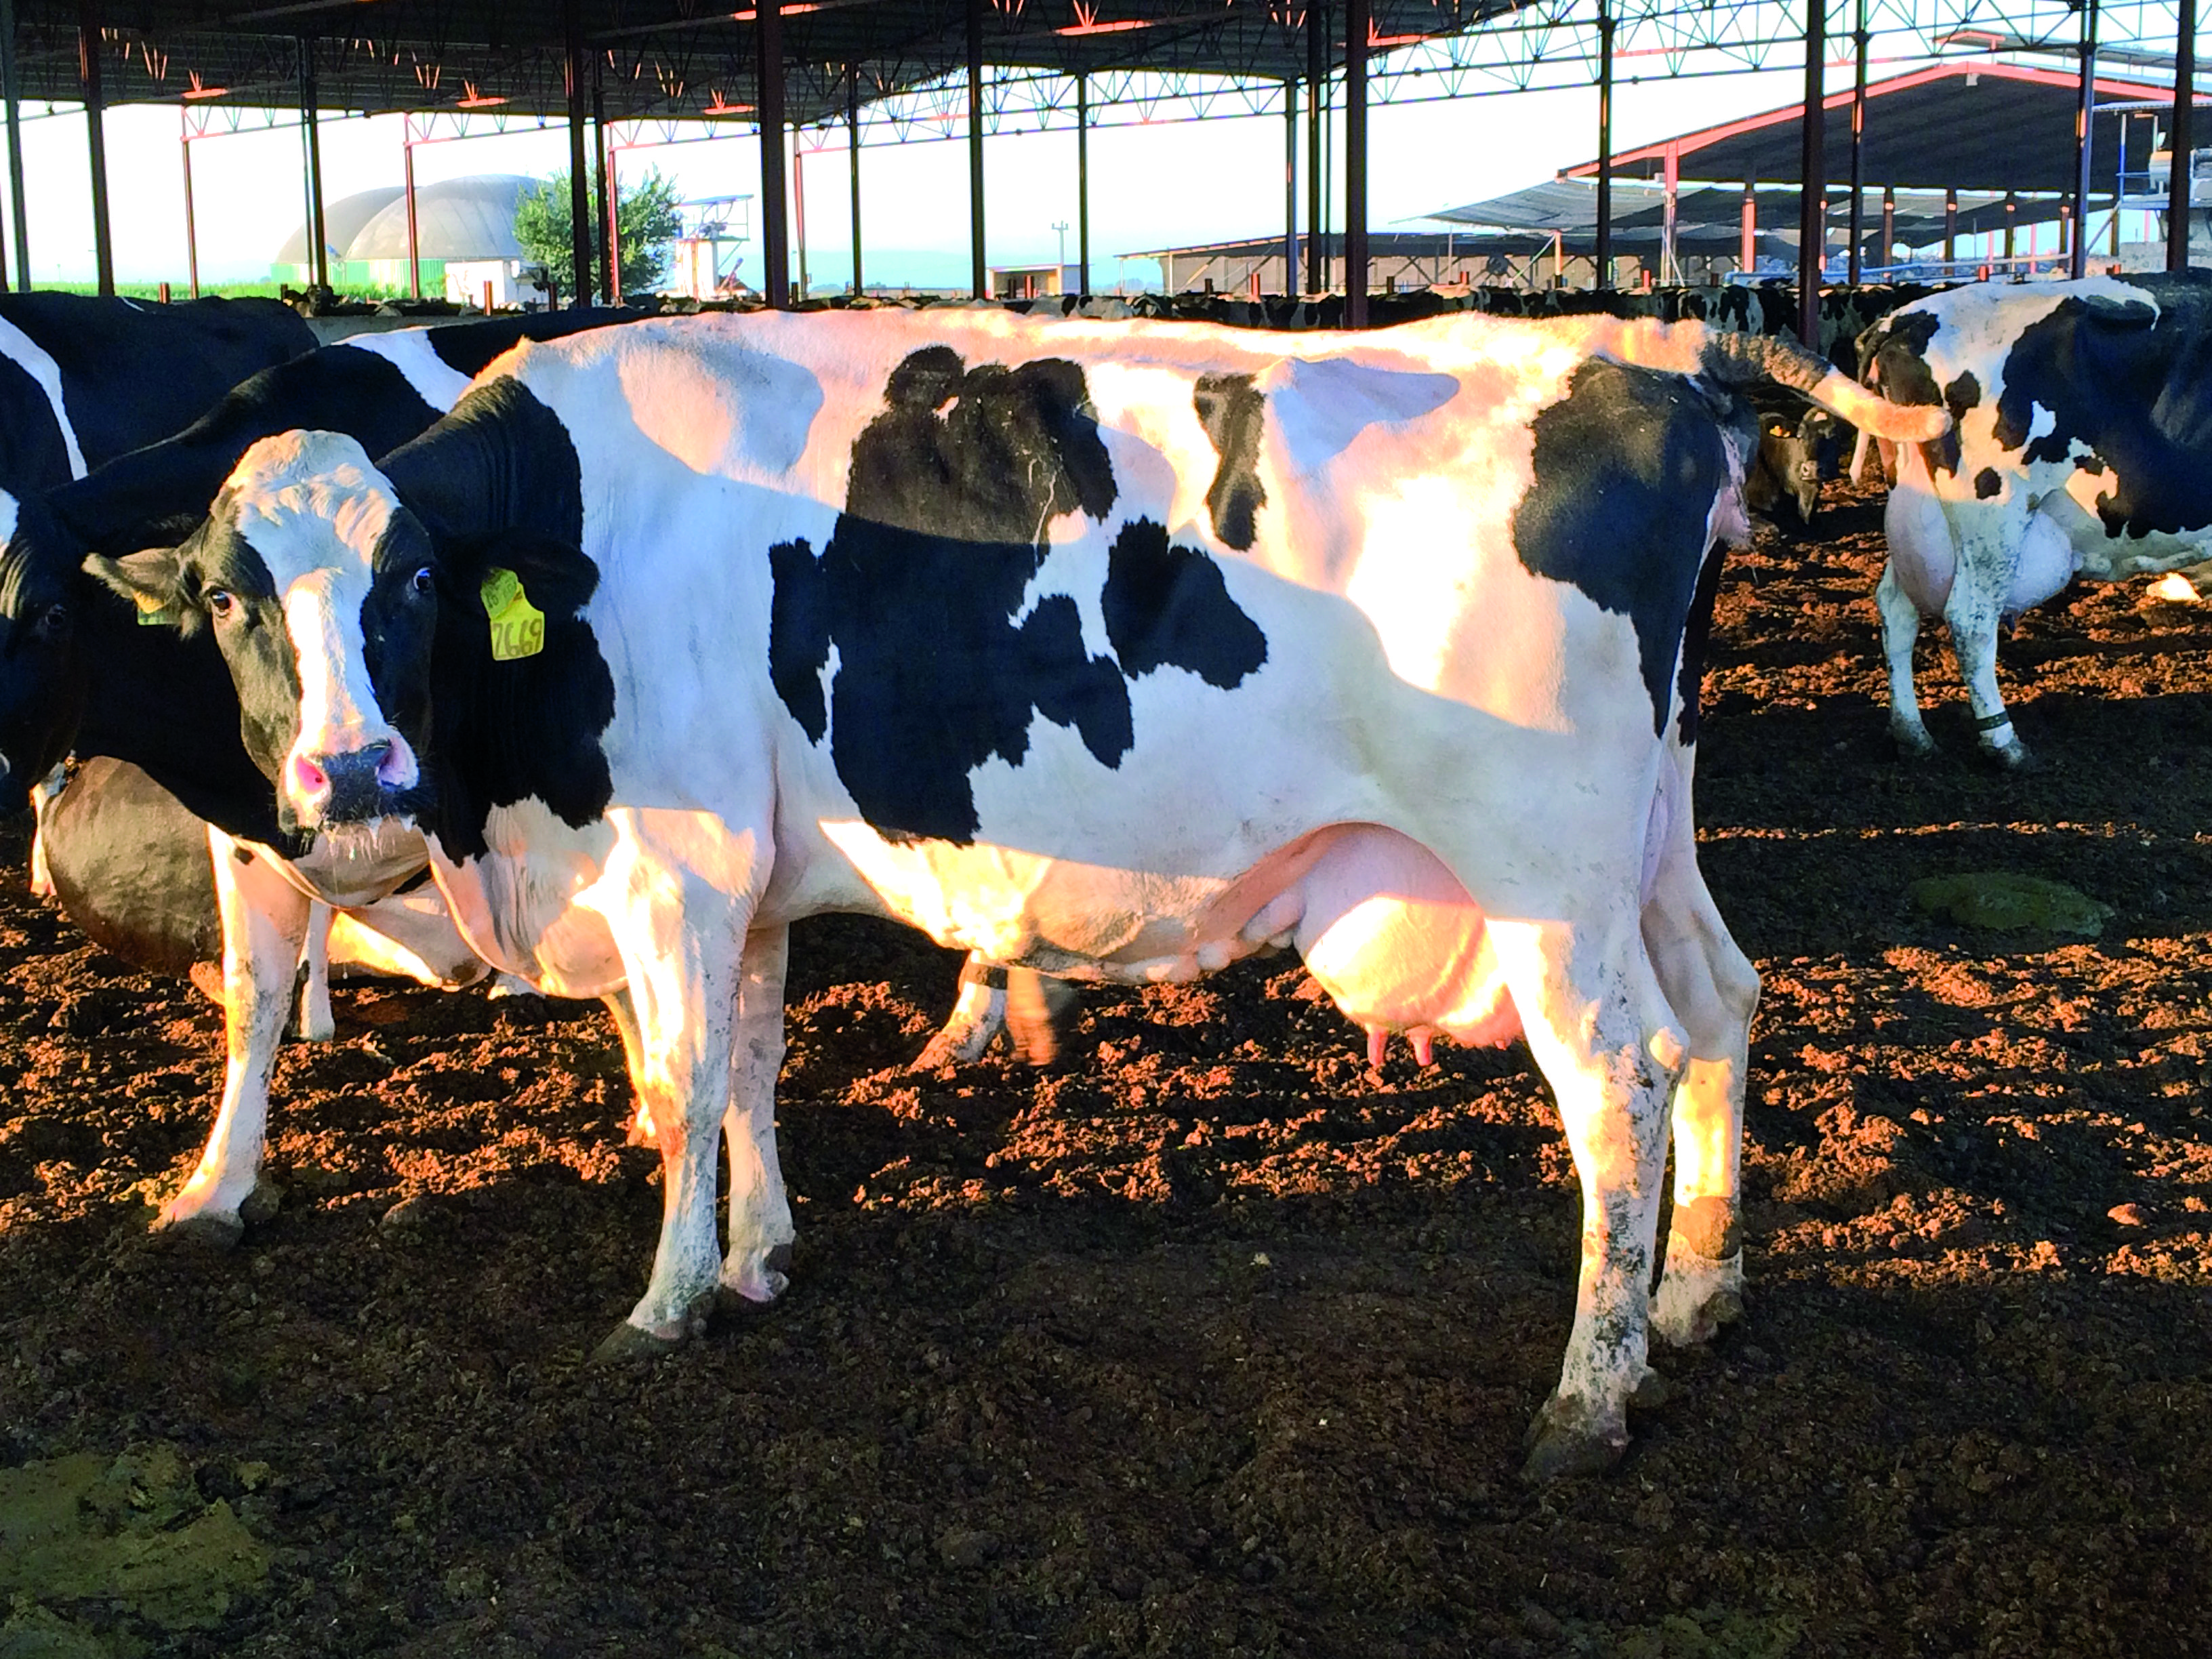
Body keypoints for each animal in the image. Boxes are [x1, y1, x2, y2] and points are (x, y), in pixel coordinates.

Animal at [96, 309, 1944, 1477]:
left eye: (408, 582)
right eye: (227, 597)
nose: (350, 778)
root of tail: (1650, 351)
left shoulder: (679, 866)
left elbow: (684, 1078)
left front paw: (666, 1301)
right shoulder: (753, 873)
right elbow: (753, 1065)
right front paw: (760, 1258)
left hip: (1546, 876)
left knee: (1622, 1083)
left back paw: (1589, 1394)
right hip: (1647, 840)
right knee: (1723, 1008)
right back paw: (1695, 1293)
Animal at [1858, 272, 2212, 765]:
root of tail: (1906, 318)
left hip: (1919, 513)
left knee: (1897, 607)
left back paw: (1913, 734)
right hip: (1993, 510)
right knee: (1970, 619)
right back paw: (2004, 744)